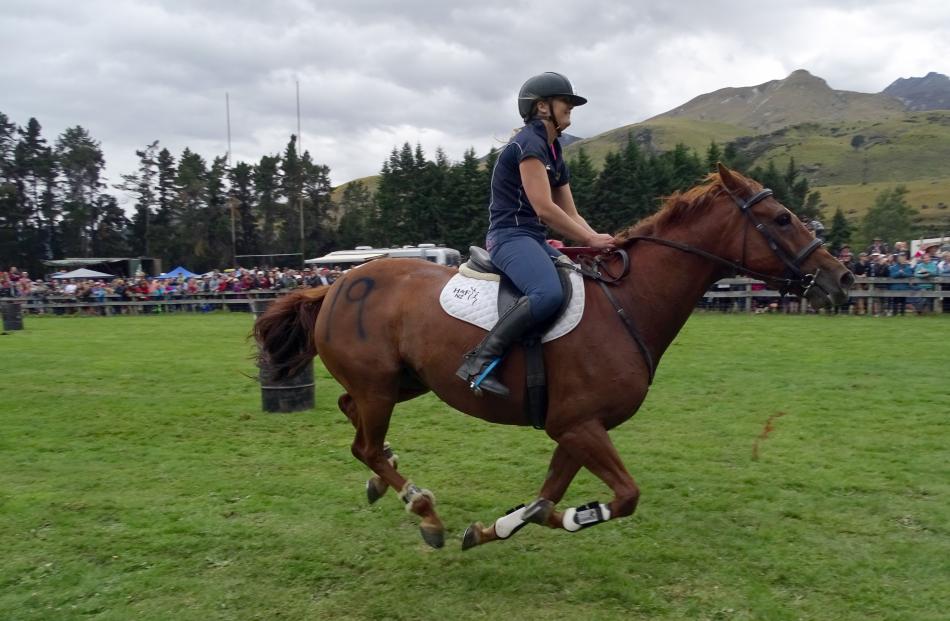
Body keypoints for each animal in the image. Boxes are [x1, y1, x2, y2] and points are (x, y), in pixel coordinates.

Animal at [253, 163, 856, 548]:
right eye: (782, 219)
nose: (843, 277)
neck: (628, 303)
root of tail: (332, 286)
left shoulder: (576, 428)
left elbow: (544, 500)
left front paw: (495, 529)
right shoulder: (581, 425)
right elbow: (624, 497)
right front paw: (576, 517)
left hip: (404, 383)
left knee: (354, 422)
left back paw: (389, 479)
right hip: (380, 387)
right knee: (365, 443)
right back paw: (422, 509)